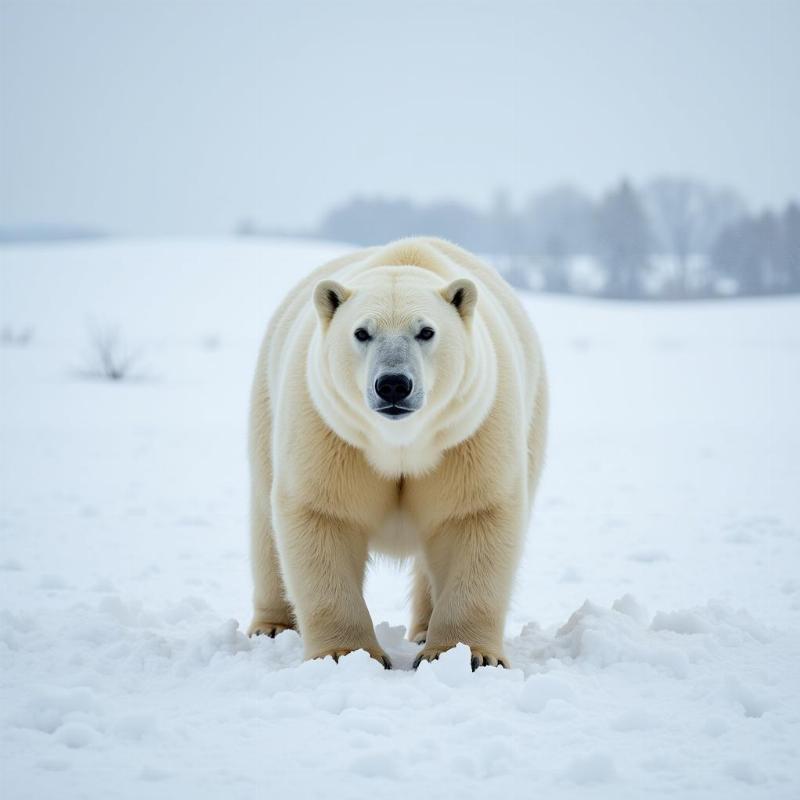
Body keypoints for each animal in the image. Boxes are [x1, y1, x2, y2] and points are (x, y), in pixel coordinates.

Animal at [247, 238, 548, 668]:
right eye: (361, 332)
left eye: (426, 331)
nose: (393, 384)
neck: (400, 441)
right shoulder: (330, 433)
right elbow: (323, 512)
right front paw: (345, 653)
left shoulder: (469, 434)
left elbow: (473, 514)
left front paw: (467, 654)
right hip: (266, 410)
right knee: (265, 522)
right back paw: (271, 627)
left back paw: (423, 631)